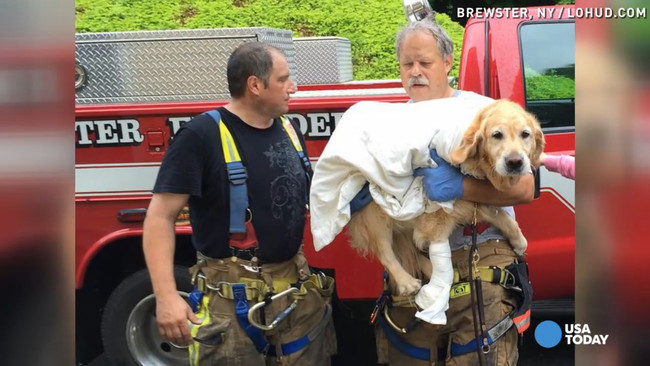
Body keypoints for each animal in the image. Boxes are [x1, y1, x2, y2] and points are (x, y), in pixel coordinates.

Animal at [344, 99, 540, 298]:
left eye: (525, 134)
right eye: (497, 135)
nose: (515, 162)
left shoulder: (471, 202)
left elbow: (502, 216)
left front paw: (519, 241)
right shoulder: (436, 216)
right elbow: (437, 240)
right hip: (375, 215)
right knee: (385, 252)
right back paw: (407, 282)